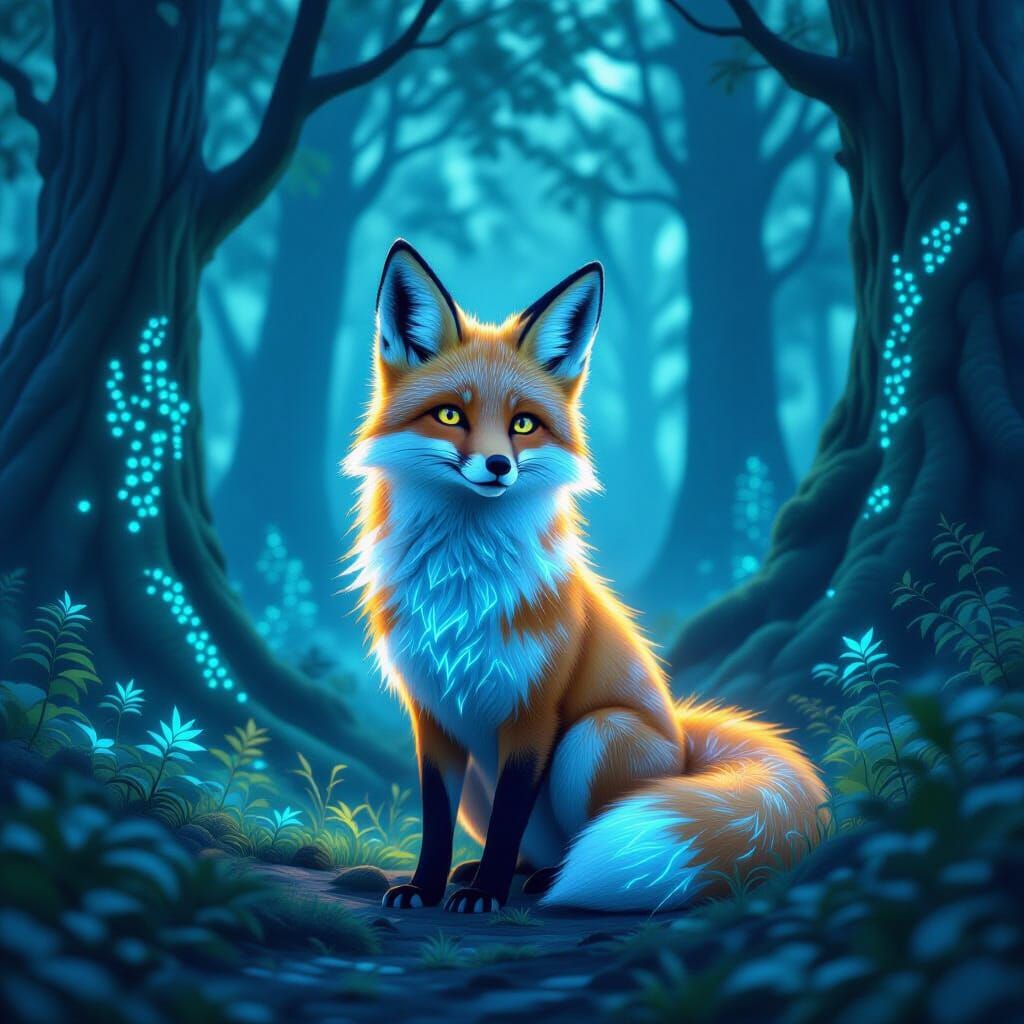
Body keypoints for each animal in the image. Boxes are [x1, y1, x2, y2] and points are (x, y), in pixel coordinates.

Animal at [343, 239, 827, 914]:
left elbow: (512, 814)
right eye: (449, 416)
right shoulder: (431, 715)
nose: (498, 466)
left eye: (523, 424)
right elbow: (435, 819)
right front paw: (426, 886)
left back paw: (546, 880)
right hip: (485, 785)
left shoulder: (535, 711)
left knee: (588, 836)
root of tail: (684, 744)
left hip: (595, 736)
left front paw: (486, 894)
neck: (463, 591)